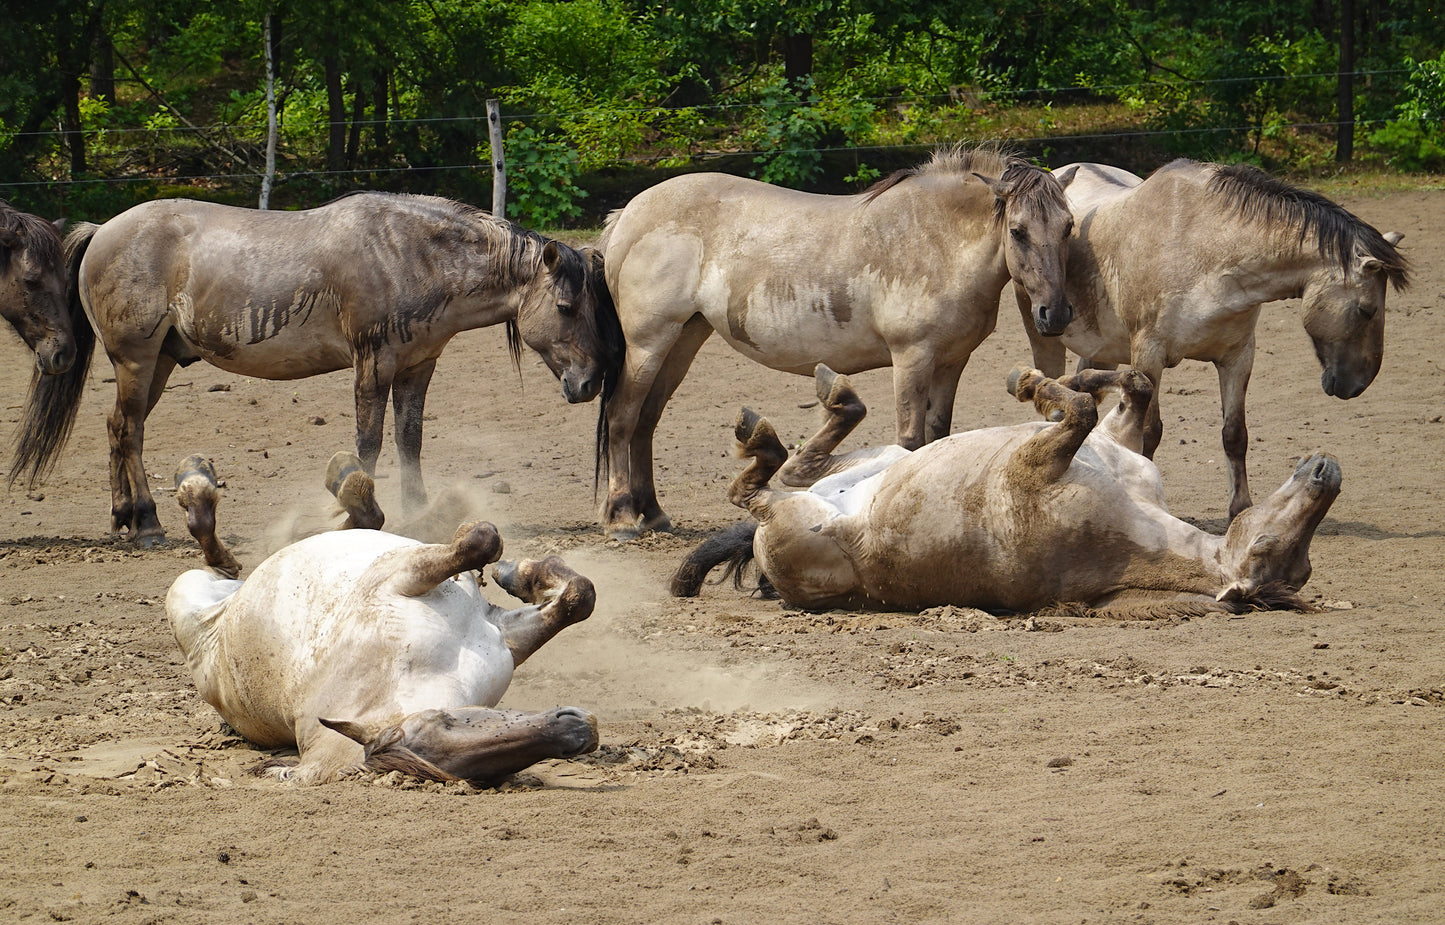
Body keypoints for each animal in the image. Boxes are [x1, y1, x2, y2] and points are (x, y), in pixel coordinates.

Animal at [12, 195, 621, 543]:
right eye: (567, 307)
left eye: (593, 308)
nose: (589, 383)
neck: (412, 253)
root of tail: (102, 231)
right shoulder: (372, 366)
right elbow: (368, 443)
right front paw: (354, 513)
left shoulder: (418, 368)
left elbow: (409, 439)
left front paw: (418, 514)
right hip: (136, 361)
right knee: (126, 431)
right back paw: (145, 522)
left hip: (159, 362)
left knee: (123, 428)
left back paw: (127, 517)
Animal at [164, 450, 598, 786]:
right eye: (441, 721)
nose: (582, 729)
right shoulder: (399, 575)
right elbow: (481, 539)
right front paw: (502, 561)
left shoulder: (500, 635)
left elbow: (579, 596)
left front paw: (520, 573)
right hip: (187, 590)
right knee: (214, 558)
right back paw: (197, 483)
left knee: (354, 522)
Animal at [670, 364, 1335, 618]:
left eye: (1273, 552)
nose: (1326, 472)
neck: (1135, 528)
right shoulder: (1113, 445)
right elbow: (1129, 388)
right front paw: (1073, 375)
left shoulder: (1038, 463)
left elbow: (1080, 410)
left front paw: (1035, 383)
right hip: (880, 461)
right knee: (800, 463)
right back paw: (822, 398)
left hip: (800, 520)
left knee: (760, 489)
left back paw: (762, 437)